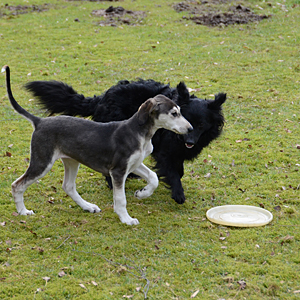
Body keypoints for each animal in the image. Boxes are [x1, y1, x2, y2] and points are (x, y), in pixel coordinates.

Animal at [1, 65, 192, 225]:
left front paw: (143, 193)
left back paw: (88, 207)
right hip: (42, 162)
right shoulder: (118, 171)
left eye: (180, 111)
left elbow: (153, 177)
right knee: (17, 185)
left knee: (68, 186)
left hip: (71, 160)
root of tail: (39, 121)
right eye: (174, 113)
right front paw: (126, 219)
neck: (140, 132)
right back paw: (23, 211)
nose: (190, 129)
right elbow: (121, 199)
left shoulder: (134, 164)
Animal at [25, 79, 226, 204]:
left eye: (201, 125)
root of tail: (102, 98)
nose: (190, 139)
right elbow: (172, 172)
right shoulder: (164, 151)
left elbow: (179, 169)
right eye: (186, 118)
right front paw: (178, 193)